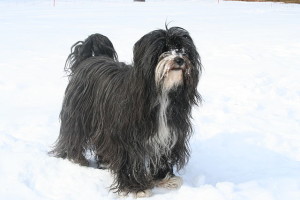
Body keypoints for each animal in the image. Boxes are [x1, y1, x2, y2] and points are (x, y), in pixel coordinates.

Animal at [49, 26, 202, 197]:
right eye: (163, 49)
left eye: (182, 49)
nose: (179, 59)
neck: (161, 93)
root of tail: (87, 60)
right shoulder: (128, 138)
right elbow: (130, 161)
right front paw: (136, 188)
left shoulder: (167, 134)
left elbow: (161, 156)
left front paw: (164, 178)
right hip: (79, 115)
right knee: (74, 135)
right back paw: (76, 158)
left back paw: (105, 162)